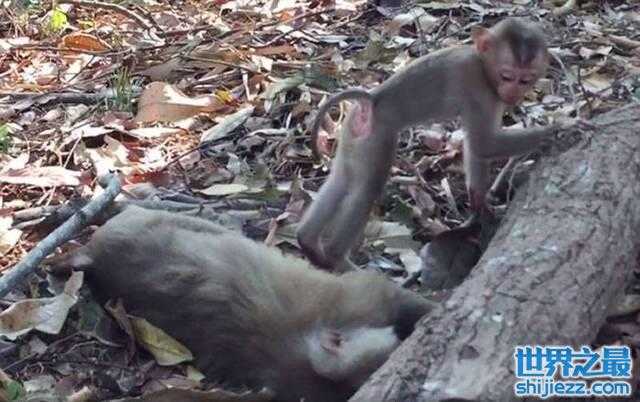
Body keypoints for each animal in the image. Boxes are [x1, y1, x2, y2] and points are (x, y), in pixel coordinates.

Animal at [297, 17, 575, 272]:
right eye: (507, 76)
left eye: (526, 80)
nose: (514, 93)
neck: (482, 64)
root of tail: (372, 98)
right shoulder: (482, 93)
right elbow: (483, 143)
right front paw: (561, 128)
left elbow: (477, 149)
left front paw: (479, 200)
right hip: (376, 135)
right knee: (366, 187)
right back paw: (336, 257)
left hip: (353, 134)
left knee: (343, 177)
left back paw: (308, 242)